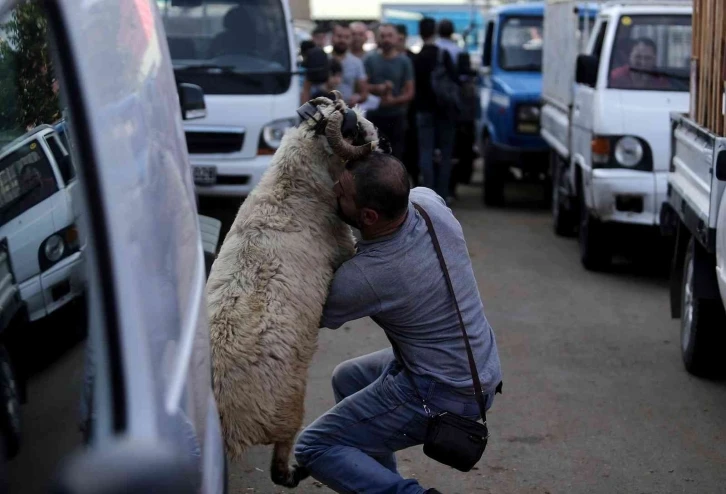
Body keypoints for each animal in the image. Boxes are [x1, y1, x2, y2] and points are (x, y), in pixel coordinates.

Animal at [206, 94, 382, 488]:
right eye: (352, 127)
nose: (381, 141)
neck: (289, 188)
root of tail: (225, 416)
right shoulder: (345, 251)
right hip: (286, 408)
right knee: (279, 461)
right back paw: (295, 471)